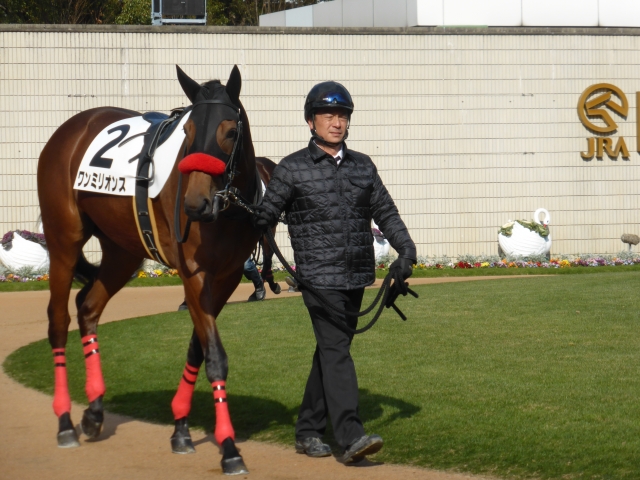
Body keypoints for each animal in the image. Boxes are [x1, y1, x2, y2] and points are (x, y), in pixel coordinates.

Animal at [37, 64, 273, 475]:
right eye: (188, 131)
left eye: (229, 131)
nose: (195, 204)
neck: (226, 212)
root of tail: (71, 127)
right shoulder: (194, 273)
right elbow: (214, 356)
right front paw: (229, 447)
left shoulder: (226, 277)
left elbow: (198, 347)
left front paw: (180, 427)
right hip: (63, 239)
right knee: (58, 320)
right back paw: (65, 421)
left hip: (122, 252)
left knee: (88, 307)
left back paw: (94, 412)